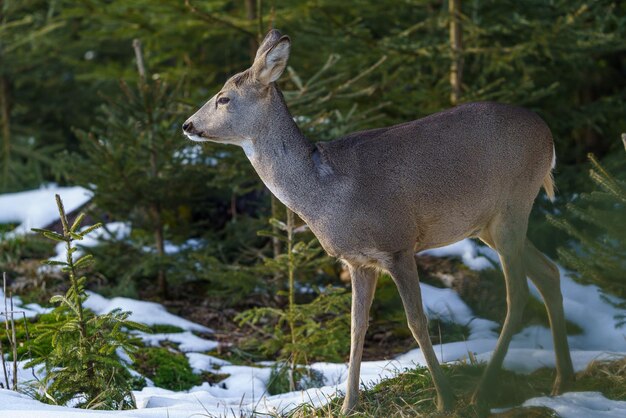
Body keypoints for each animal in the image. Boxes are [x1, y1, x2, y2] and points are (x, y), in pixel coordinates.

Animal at [180, 30, 572, 414]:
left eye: (224, 98)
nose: (187, 125)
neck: (325, 193)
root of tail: (550, 137)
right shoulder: (358, 260)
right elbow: (357, 326)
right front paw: (348, 405)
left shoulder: (397, 243)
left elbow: (417, 323)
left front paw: (445, 400)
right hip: (489, 224)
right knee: (549, 272)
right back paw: (561, 381)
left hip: (513, 205)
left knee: (518, 295)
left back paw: (484, 393)